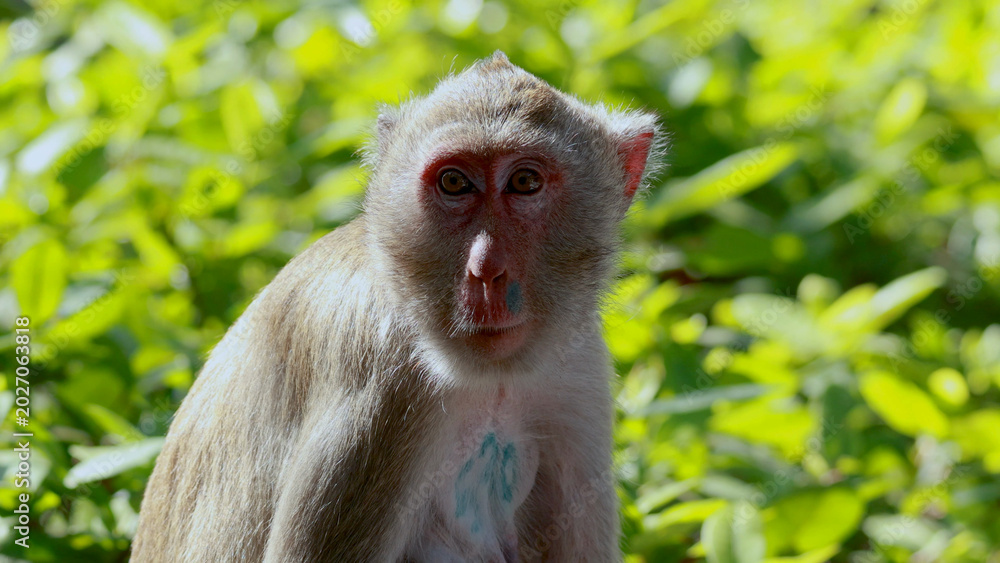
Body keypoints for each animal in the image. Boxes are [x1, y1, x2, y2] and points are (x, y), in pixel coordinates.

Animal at [131, 51, 664, 562]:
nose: (486, 271)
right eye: (455, 183)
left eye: (526, 182)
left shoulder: (579, 367)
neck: (489, 381)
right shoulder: (378, 383)